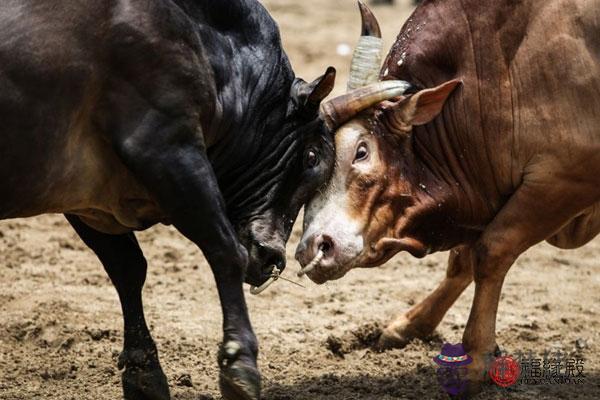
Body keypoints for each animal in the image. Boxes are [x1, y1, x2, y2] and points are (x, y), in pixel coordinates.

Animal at [0, 1, 338, 398]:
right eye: (312, 157)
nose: (272, 258)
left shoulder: (88, 200)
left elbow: (127, 268)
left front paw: (143, 372)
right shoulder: (167, 148)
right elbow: (225, 250)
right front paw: (240, 362)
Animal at [296, 0, 600, 394]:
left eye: (361, 152)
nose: (312, 248)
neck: (504, 65)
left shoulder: (563, 178)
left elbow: (490, 251)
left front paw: (474, 358)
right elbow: (462, 260)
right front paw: (409, 325)